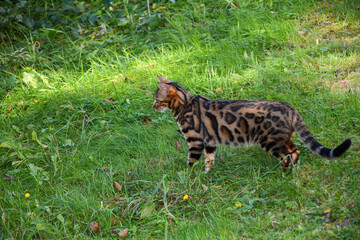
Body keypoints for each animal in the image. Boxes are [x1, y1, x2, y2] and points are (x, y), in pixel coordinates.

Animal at [154, 75, 352, 172]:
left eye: (156, 98)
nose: (153, 106)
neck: (185, 103)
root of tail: (289, 107)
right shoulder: (209, 142)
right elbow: (209, 160)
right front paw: (207, 175)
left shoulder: (195, 141)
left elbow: (191, 162)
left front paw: (188, 179)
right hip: (281, 137)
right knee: (295, 150)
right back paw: (287, 169)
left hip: (269, 139)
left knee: (288, 153)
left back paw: (282, 171)